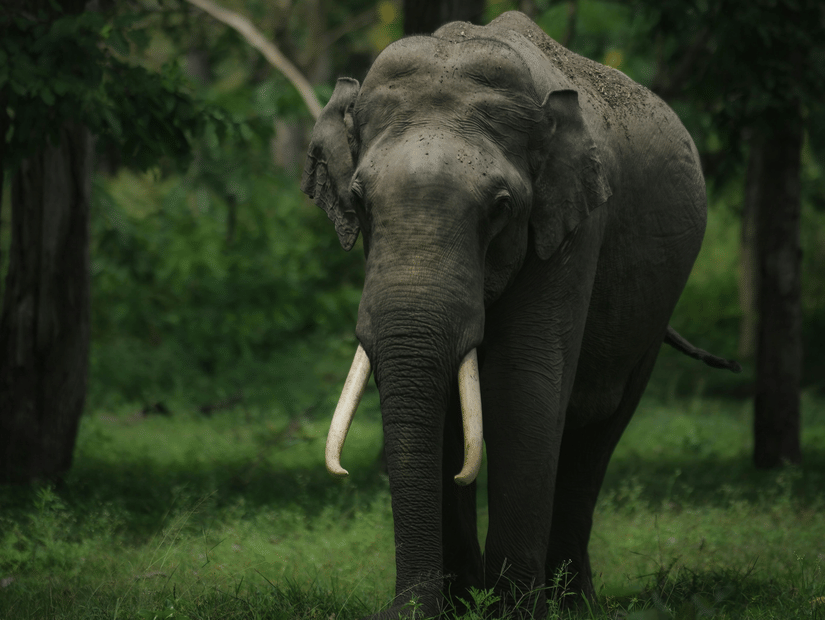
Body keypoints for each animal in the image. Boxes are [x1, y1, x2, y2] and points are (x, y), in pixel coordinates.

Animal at [301, 11, 739, 619]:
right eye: (360, 202)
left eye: (501, 208)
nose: (401, 609)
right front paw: (455, 604)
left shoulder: (571, 230)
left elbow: (521, 388)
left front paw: (509, 610)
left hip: (656, 306)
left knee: (598, 433)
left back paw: (572, 603)